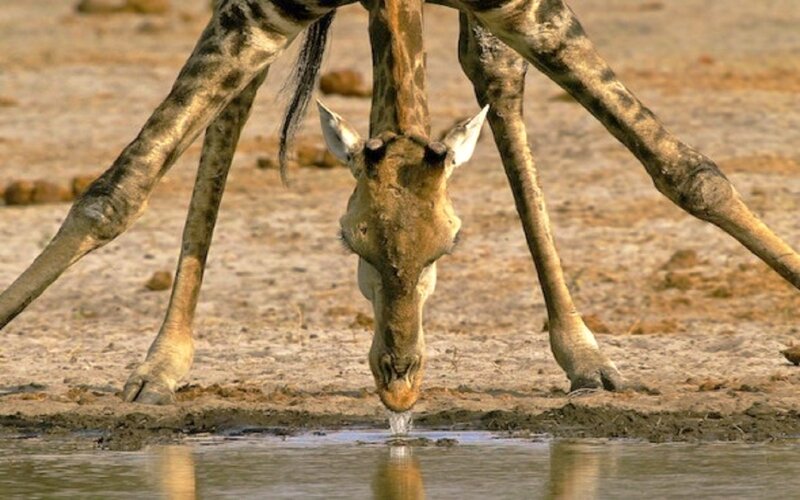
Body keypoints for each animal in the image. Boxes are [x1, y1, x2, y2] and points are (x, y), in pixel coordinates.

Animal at [0, 0, 798, 412]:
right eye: (350, 243)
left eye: (448, 247)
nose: (401, 390)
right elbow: (121, 184)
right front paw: (157, 362)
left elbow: (677, 163)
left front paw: (585, 354)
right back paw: (161, 360)